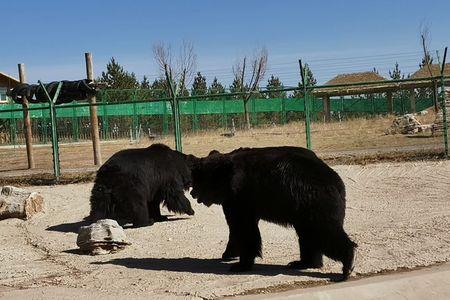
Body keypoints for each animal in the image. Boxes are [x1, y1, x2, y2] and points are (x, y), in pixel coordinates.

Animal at [191, 146, 358, 280]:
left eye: (198, 181)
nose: (192, 194)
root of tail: (338, 184)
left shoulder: (241, 197)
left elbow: (243, 229)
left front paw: (239, 264)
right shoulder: (241, 201)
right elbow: (239, 229)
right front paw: (229, 254)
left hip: (314, 202)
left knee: (325, 231)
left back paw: (346, 265)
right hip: (303, 210)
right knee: (309, 235)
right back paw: (302, 262)